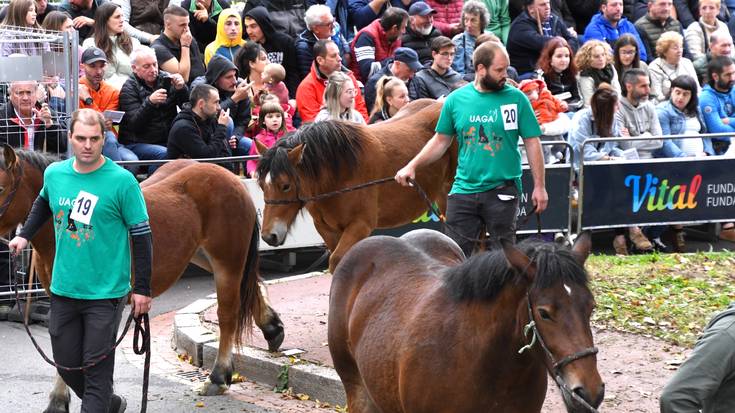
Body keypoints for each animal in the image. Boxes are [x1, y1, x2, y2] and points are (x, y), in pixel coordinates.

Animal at [0, 149, 284, 412]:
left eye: (1, 187)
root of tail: (230, 177)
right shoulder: (62, 301)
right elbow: (64, 351)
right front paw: (58, 401)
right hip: (201, 255)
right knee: (252, 287)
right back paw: (272, 328)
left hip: (227, 261)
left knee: (228, 314)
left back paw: (218, 376)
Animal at [258, 98, 454, 272]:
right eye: (261, 185)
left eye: (285, 185)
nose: (269, 236)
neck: (339, 171)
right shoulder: (327, 229)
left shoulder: (360, 225)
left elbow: (339, 260)